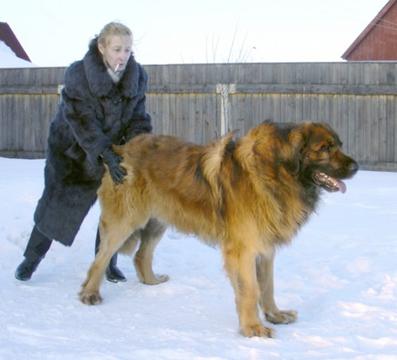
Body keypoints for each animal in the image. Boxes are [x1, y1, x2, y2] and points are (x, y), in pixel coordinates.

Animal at [79, 121, 358, 338]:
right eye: (325, 148)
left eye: (339, 144)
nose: (355, 167)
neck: (276, 173)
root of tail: (121, 148)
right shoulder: (243, 250)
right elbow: (250, 290)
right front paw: (253, 329)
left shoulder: (266, 248)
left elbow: (267, 286)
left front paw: (275, 315)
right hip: (125, 221)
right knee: (100, 258)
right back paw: (90, 294)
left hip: (159, 220)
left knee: (140, 255)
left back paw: (151, 281)